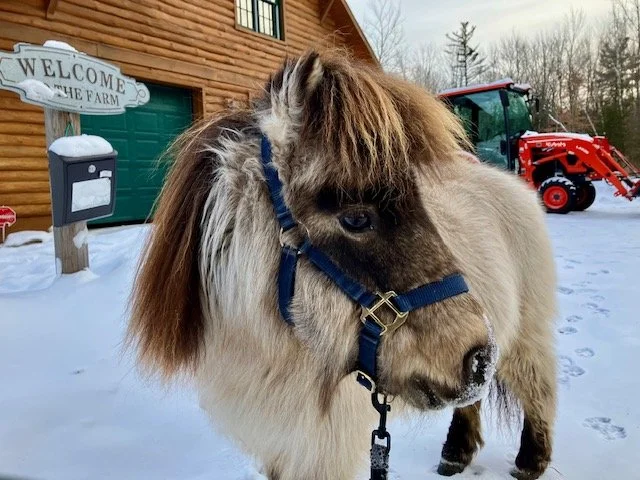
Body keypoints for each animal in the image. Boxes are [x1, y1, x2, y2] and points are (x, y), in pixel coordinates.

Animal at [128, 51, 557, 480]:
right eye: (356, 218)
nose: (477, 359)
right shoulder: (280, 444)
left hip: (525, 335)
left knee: (538, 390)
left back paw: (530, 460)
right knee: (472, 402)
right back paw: (455, 453)